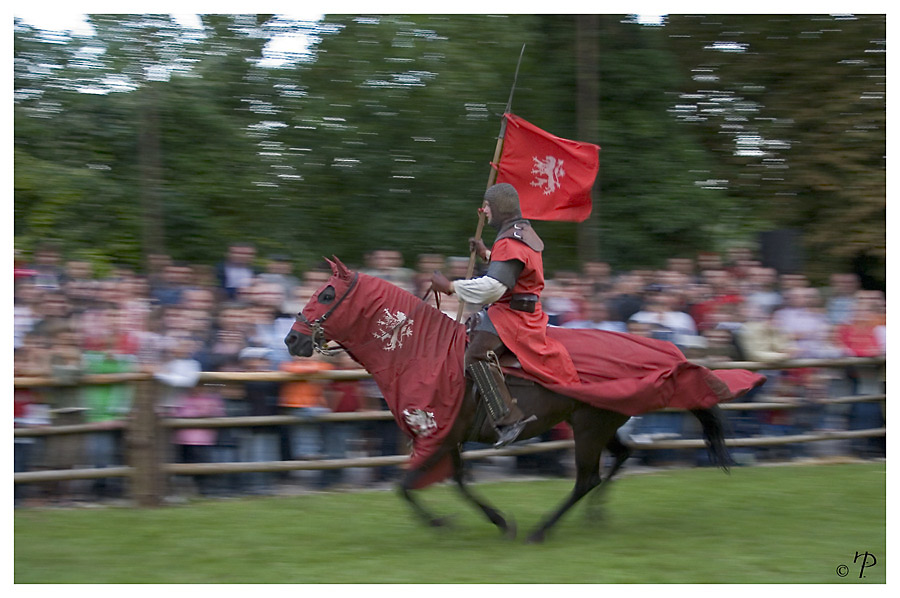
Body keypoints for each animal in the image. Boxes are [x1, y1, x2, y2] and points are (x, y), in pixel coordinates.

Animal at [284, 256, 764, 544]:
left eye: (327, 293)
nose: (292, 339)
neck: (417, 351)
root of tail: (669, 355)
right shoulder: (448, 437)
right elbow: (456, 482)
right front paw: (497, 521)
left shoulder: (438, 435)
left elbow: (406, 485)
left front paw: (446, 523)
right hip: (600, 422)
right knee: (622, 456)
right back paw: (594, 517)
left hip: (589, 426)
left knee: (586, 478)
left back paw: (544, 529)